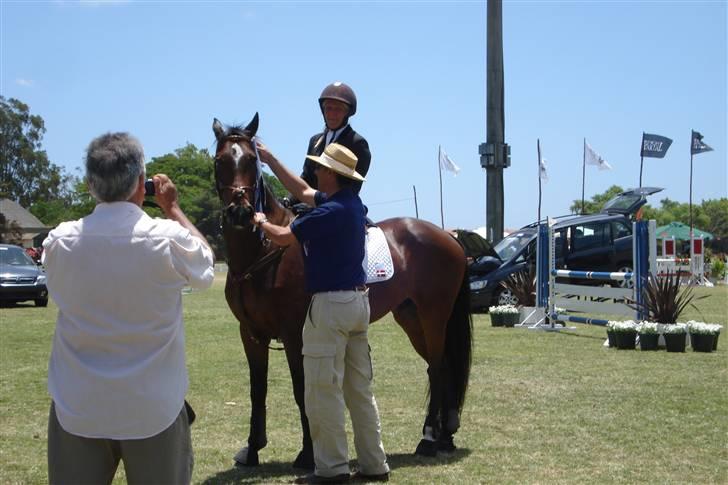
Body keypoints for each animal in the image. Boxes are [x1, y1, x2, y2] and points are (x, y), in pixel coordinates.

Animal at [212, 113, 472, 468]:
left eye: (252, 160)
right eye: (220, 161)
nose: (240, 212)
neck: (262, 253)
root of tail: (448, 235)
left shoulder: (294, 334)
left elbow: (301, 388)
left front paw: (307, 454)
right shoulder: (250, 334)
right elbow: (257, 390)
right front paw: (252, 449)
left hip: (434, 316)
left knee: (436, 367)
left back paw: (430, 440)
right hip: (411, 318)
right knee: (442, 367)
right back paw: (444, 436)